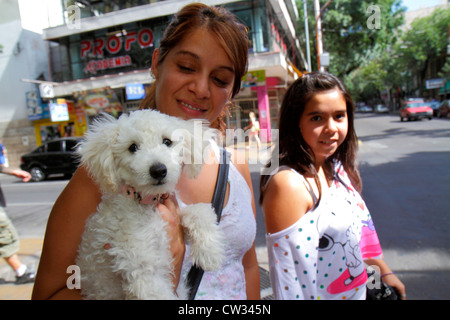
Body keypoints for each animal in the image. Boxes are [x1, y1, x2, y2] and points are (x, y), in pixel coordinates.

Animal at [77, 110, 227, 300]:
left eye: (167, 141)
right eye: (132, 147)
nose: (159, 170)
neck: (149, 204)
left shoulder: (176, 215)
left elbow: (200, 211)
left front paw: (210, 253)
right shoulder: (142, 270)